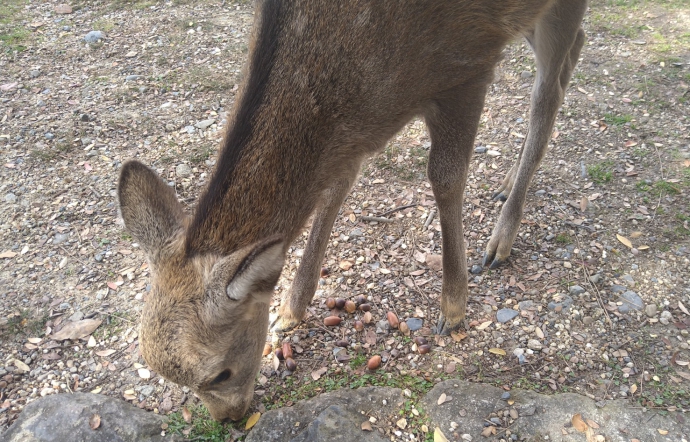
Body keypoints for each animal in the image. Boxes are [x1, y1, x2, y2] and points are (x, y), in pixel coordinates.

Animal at [117, 0, 584, 422]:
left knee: (548, 91)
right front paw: (290, 310)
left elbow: (446, 177)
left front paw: (453, 309)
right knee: (573, 52)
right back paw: (505, 185)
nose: (228, 419)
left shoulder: (471, 59)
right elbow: (336, 188)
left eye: (219, 373)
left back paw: (500, 240)